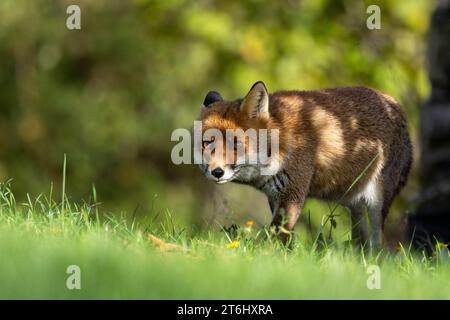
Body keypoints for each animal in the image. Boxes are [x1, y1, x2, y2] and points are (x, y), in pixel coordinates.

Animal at [198, 81, 412, 246]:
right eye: (207, 143)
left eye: (236, 144)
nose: (217, 172)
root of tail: (396, 106)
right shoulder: (276, 196)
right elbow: (286, 238)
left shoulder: (293, 194)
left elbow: (275, 236)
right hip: (355, 206)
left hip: (377, 204)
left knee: (378, 246)